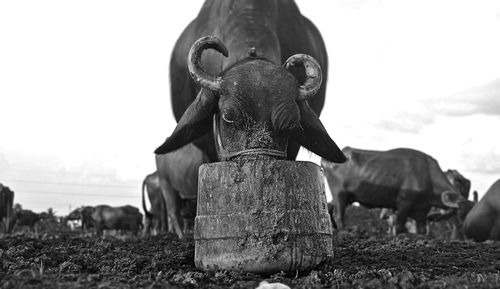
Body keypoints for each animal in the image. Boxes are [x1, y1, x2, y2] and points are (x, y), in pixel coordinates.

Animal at [324, 146, 468, 234]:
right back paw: (344, 231)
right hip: (340, 194)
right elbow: (398, 226)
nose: (462, 226)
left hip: (344, 197)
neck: (427, 175)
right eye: (461, 210)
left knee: (329, 208)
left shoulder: (421, 209)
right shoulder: (404, 204)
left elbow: (421, 229)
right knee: (338, 214)